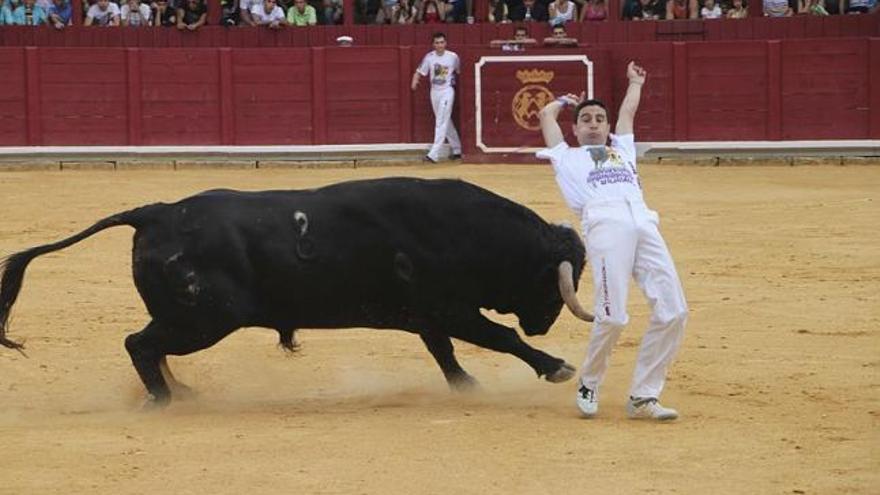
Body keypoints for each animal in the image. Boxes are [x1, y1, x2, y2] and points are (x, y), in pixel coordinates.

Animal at [0, 178, 596, 406]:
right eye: (551, 282)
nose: (544, 322)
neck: (465, 230)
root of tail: (156, 212)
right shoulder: (450, 307)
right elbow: (499, 338)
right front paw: (556, 366)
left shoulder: (428, 314)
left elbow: (445, 353)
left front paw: (466, 386)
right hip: (207, 318)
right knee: (138, 344)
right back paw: (166, 401)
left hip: (189, 317)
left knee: (149, 345)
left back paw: (180, 392)